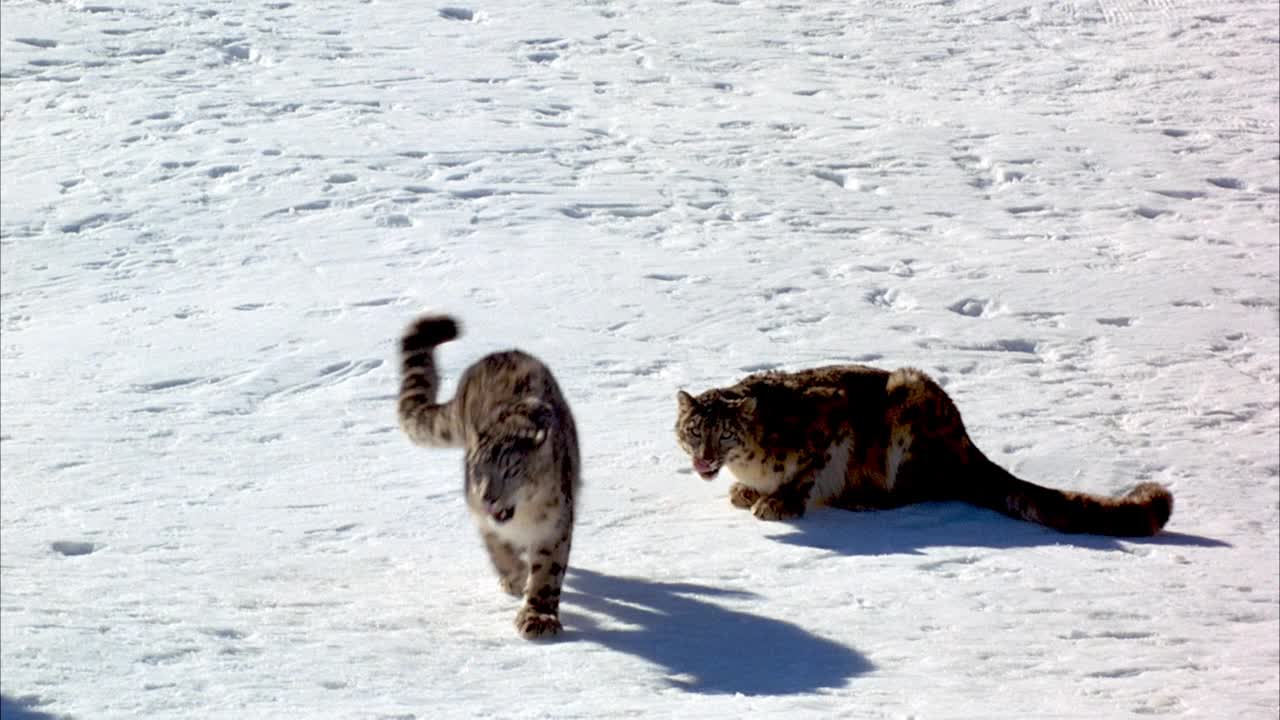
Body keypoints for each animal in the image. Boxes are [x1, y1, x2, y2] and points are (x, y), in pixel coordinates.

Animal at [396, 313, 583, 632]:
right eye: (477, 472)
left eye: (511, 470)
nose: (488, 497)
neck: (524, 518)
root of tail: (496, 355)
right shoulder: (481, 517)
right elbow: (496, 548)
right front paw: (515, 577)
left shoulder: (555, 525)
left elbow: (548, 571)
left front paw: (538, 617)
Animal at [675, 363, 1172, 532]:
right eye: (694, 431)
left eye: (725, 433)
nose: (704, 458)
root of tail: (966, 439)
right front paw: (748, 493)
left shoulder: (830, 419)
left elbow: (808, 470)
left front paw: (779, 502)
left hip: (909, 408)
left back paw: (861, 498)